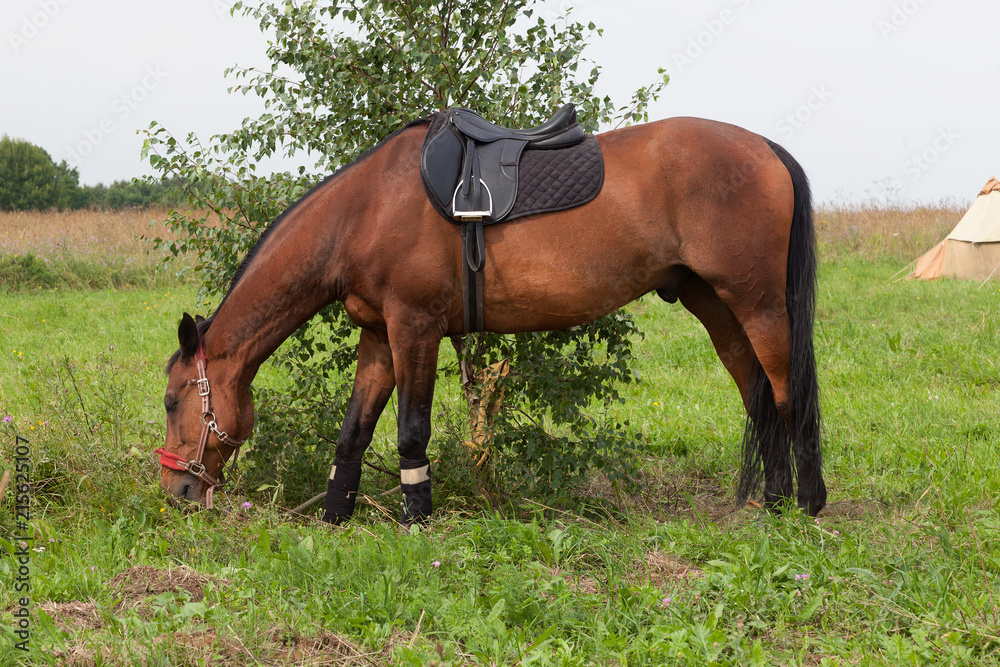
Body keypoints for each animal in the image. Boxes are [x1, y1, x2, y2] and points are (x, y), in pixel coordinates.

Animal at [156, 112, 826, 524]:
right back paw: (771, 503)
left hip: (758, 304)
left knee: (788, 396)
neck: (365, 210)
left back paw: (805, 505)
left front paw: (418, 522)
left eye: (171, 401)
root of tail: (765, 149)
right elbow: (353, 432)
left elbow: (411, 432)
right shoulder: (378, 337)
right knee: (759, 397)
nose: (177, 491)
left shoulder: (415, 329)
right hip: (715, 305)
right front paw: (334, 517)